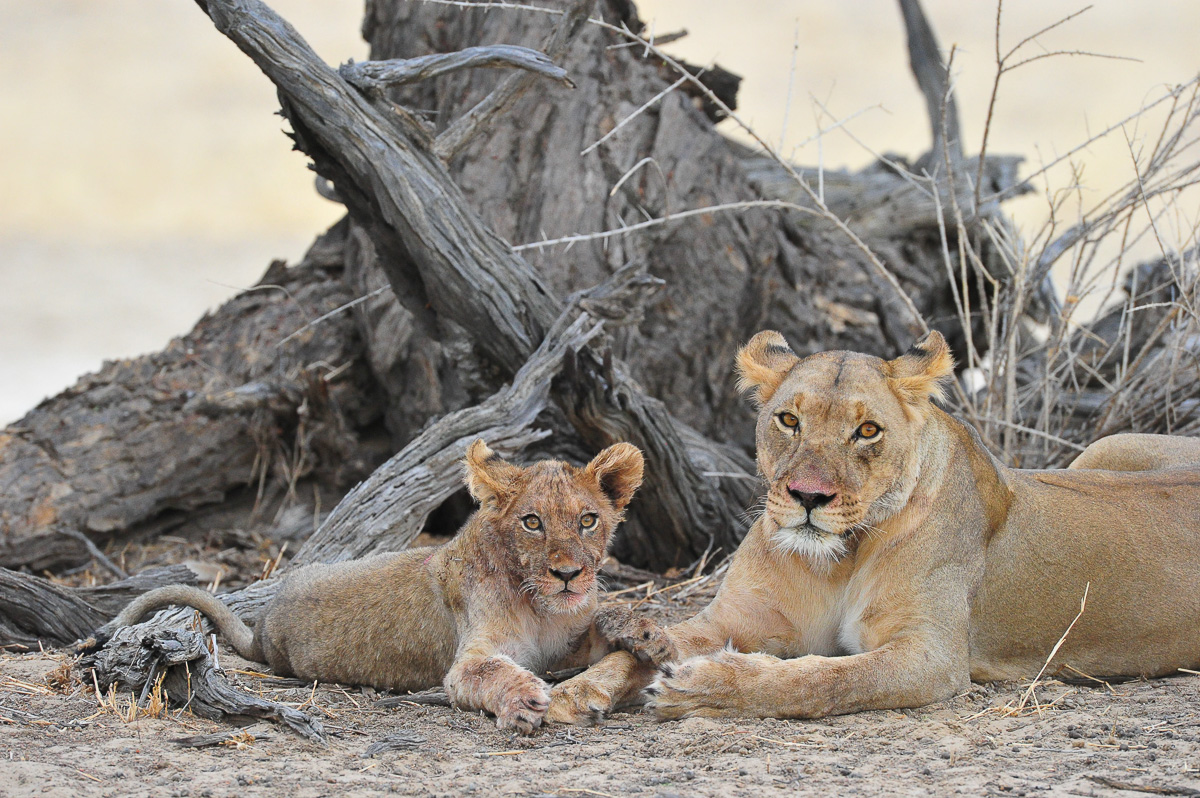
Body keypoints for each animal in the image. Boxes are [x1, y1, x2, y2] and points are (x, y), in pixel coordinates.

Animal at [107, 439, 643, 733]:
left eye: (588, 520)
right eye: (532, 522)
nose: (568, 575)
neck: (540, 607)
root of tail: (262, 630)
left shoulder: (563, 646)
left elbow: (598, 642)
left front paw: (630, 630)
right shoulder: (466, 661)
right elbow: (489, 672)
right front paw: (524, 701)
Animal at [547, 330, 1200, 723]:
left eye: (867, 431)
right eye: (788, 420)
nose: (809, 497)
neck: (837, 560)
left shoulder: (931, 655)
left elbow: (825, 680)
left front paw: (703, 686)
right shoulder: (730, 620)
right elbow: (644, 649)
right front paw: (579, 690)